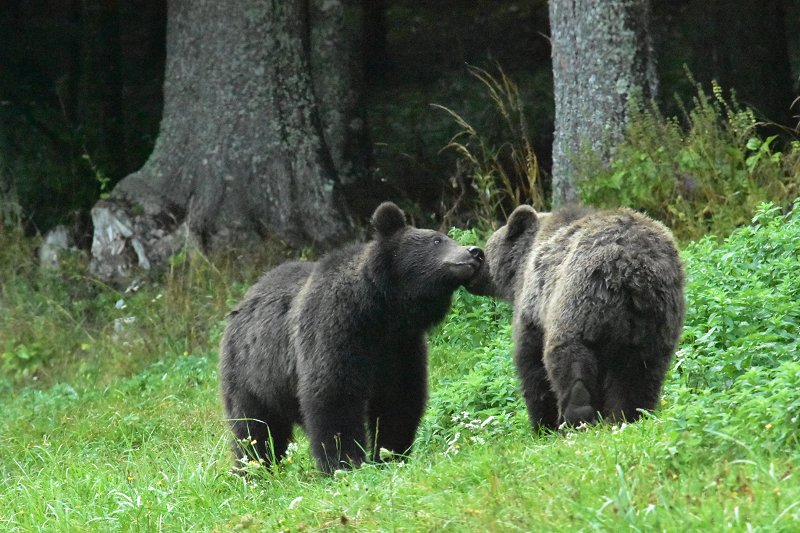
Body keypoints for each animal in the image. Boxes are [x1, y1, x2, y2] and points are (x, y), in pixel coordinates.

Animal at [216, 202, 484, 472]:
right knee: (254, 427)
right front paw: (345, 462)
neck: (380, 312)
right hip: (252, 374)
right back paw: (254, 468)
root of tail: (239, 305)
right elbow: (334, 397)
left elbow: (399, 400)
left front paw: (390, 454)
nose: (475, 252)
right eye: (437, 240)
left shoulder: (401, 348)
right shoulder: (334, 332)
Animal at [468, 206, 688, 430]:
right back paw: (629, 416)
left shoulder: (534, 307)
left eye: (486, 251)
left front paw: (542, 424)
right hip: (655, 320)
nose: (476, 262)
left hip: (579, 301)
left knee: (570, 360)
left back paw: (576, 417)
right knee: (641, 372)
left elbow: (531, 363)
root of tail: (630, 267)